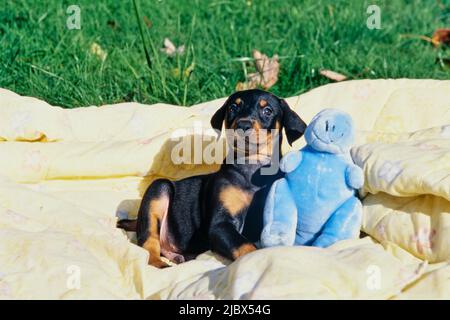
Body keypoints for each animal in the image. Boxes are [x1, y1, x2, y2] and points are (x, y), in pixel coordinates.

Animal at [117, 90, 306, 268]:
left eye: (268, 111)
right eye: (233, 108)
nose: (243, 125)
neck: (252, 167)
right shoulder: (220, 225)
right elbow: (245, 245)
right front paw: (257, 259)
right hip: (158, 190)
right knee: (148, 242)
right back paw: (159, 263)